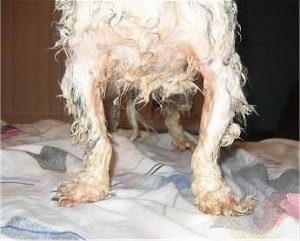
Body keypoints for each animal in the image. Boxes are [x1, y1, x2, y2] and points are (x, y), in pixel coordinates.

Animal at [54, 0, 253, 215]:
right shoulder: (85, 63)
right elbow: (97, 139)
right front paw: (90, 186)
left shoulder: (219, 69)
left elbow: (207, 147)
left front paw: (214, 194)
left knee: (171, 111)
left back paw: (180, 139)